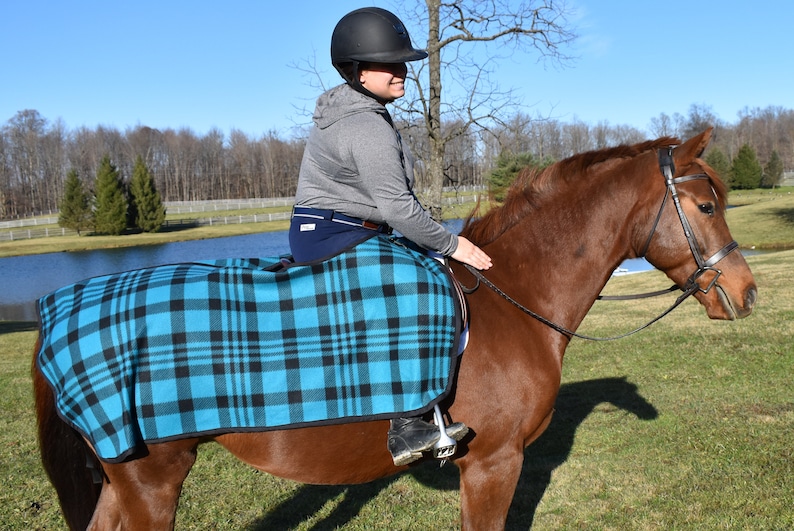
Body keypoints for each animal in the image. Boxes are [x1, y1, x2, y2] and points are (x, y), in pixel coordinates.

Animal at [32, 128, 757, 530]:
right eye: (705, 205)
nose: (747, 292)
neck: (514, 297)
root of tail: (60, 307)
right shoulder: (494, 464)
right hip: (151, 483)